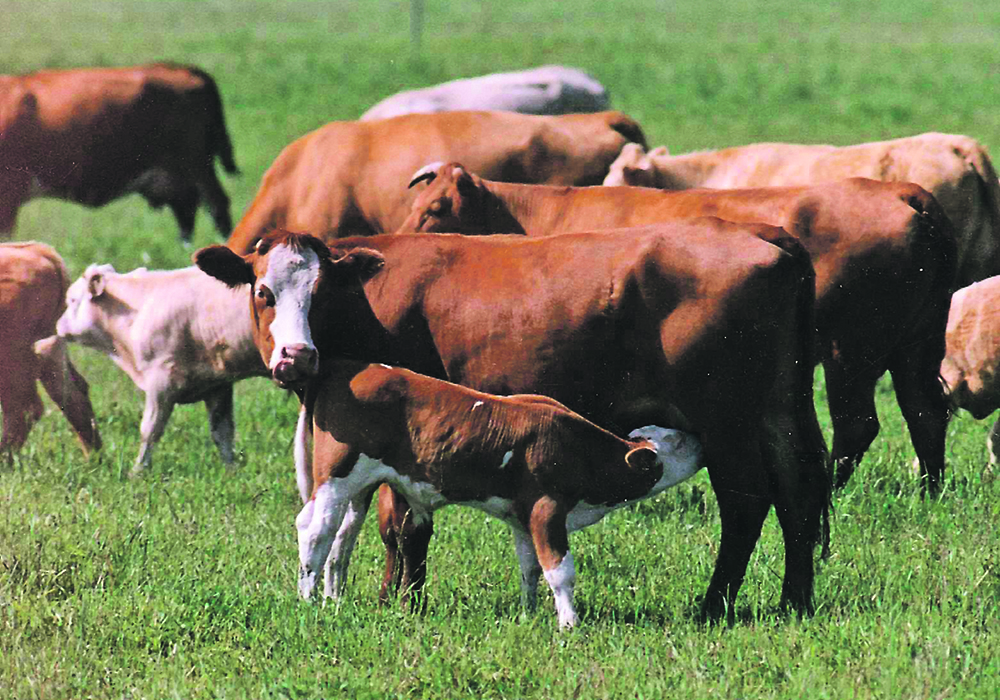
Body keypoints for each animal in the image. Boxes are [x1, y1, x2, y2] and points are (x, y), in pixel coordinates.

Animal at [0, 63, 239, 243]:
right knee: (187, 209)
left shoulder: (9, 192)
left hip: (197, 165)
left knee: (217, 205)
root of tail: (179, 68)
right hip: (177, 176)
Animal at [0, 241, 101, 459]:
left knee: (24, 409)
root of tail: (38, 250)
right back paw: (93, 460)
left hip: (13, 360)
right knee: (75, 395)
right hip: (49, 349)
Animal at [55, 263, 266, 474]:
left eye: (72, 300)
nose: (58, 325)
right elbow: (222, 432)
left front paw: (137, 471)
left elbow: (150, 430)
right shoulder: (217, 384)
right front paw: (231, 470)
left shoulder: (161, 380)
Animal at [195, 227, 830, 625]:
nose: (296, 357)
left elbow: (400, 525)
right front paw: (376, 596)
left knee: (746, 502)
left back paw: (713, 605)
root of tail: (763, 235)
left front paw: (401, 602)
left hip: (725, 423)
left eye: (321, 292)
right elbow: (366, 526)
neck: (372, 303)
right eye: (262, 291)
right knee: (797, 493)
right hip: (778, 412)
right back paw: (794, 602)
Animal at [400, 164, 957, 492]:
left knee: (856, 423)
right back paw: (930, 490)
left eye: (434, 210)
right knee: (925, 411)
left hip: (851, 350)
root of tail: (905, 192)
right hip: (917, 343)